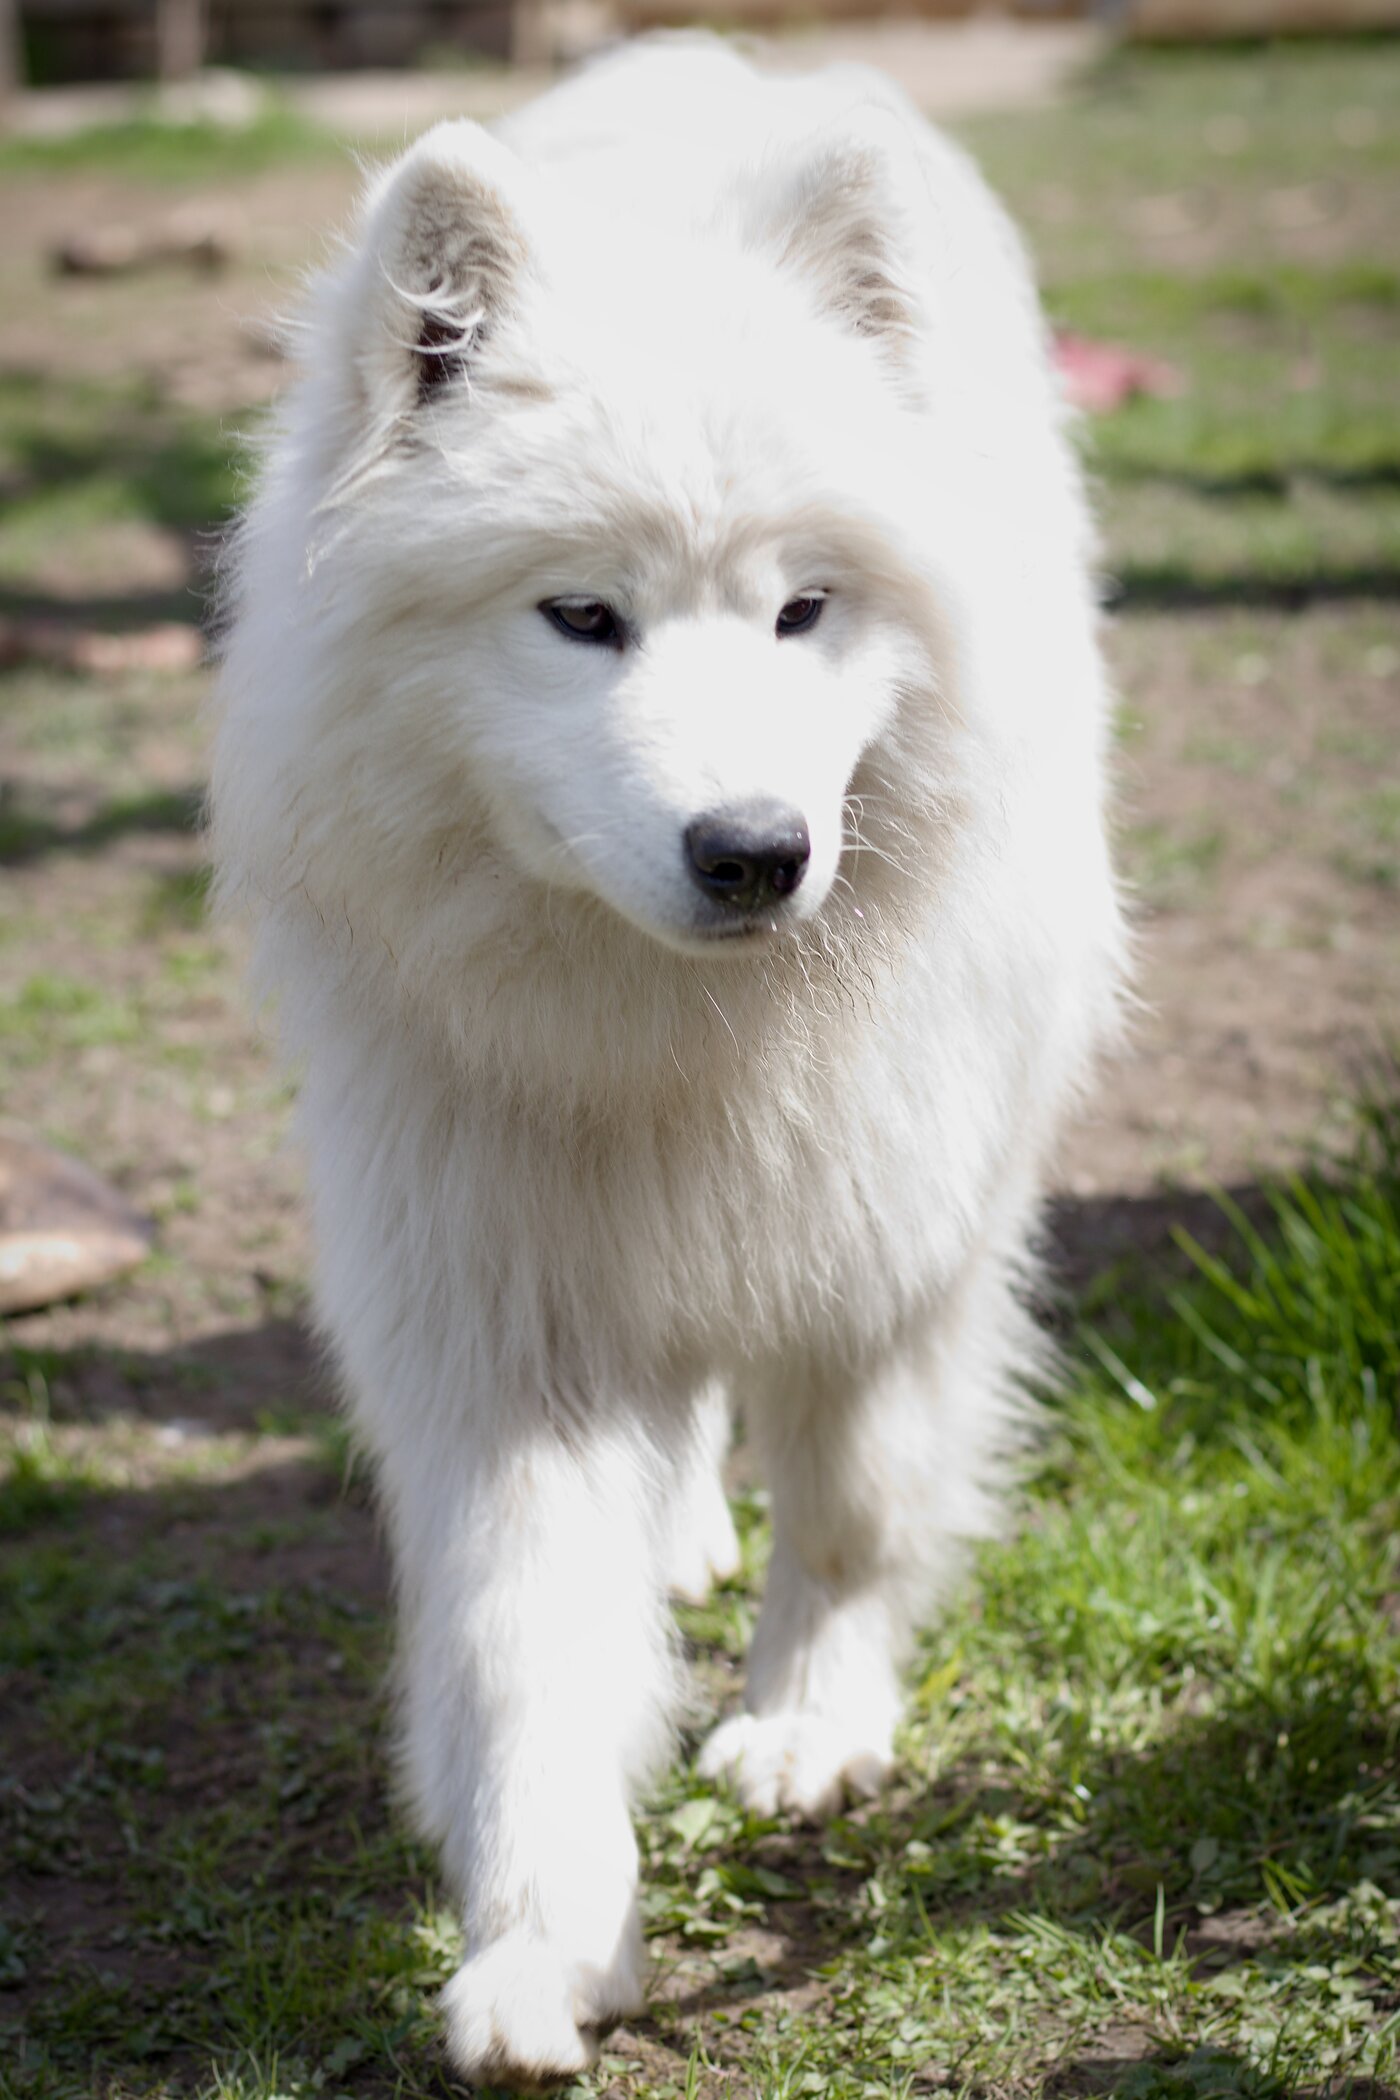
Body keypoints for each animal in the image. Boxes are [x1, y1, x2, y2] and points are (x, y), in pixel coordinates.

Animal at [211, 36, 1124, 2085]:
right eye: (581, 616)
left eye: (803, 608)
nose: (757, 852)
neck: (688, 1041)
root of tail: (719, 58)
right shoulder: (511, 1305)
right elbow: (525, 1651)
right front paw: (541, 1944)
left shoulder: (894, 1230)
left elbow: (859, 1507)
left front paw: (809, 1724)